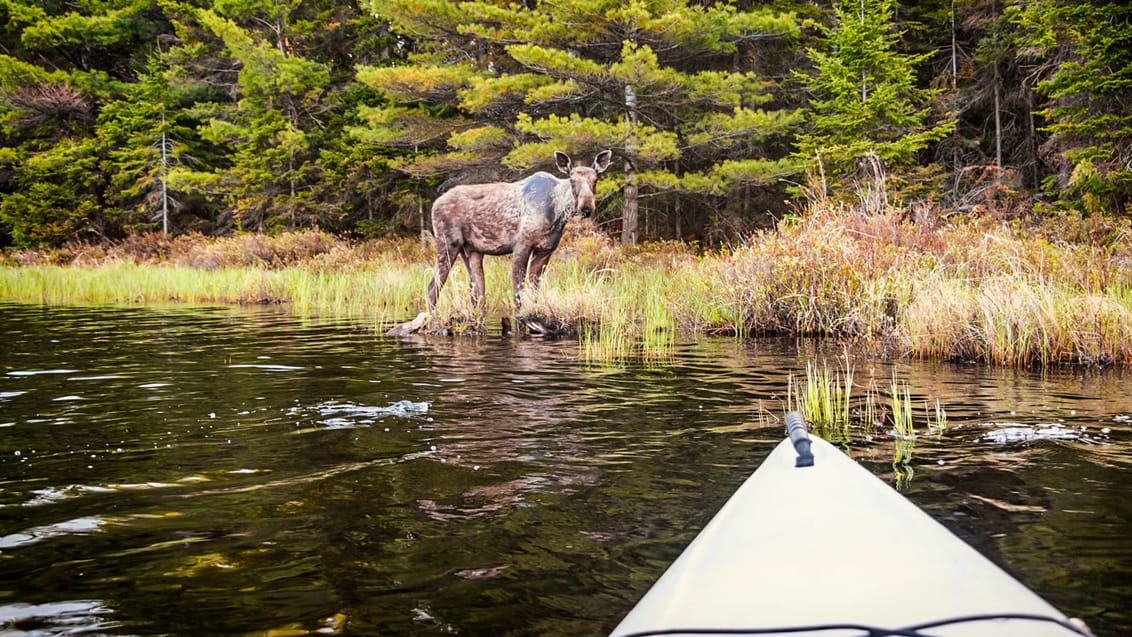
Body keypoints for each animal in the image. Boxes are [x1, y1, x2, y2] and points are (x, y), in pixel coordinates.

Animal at [425, 150, 615, 319]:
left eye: (596, 179)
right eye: (571, 180)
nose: (586, 207)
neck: (557, 214)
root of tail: (434, 204)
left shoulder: (545, 250)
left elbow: (534, 294)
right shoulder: (521, 246)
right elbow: (517, 299)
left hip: (471, 251)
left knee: (477, 294)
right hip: (448, 244)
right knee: (432, 288)